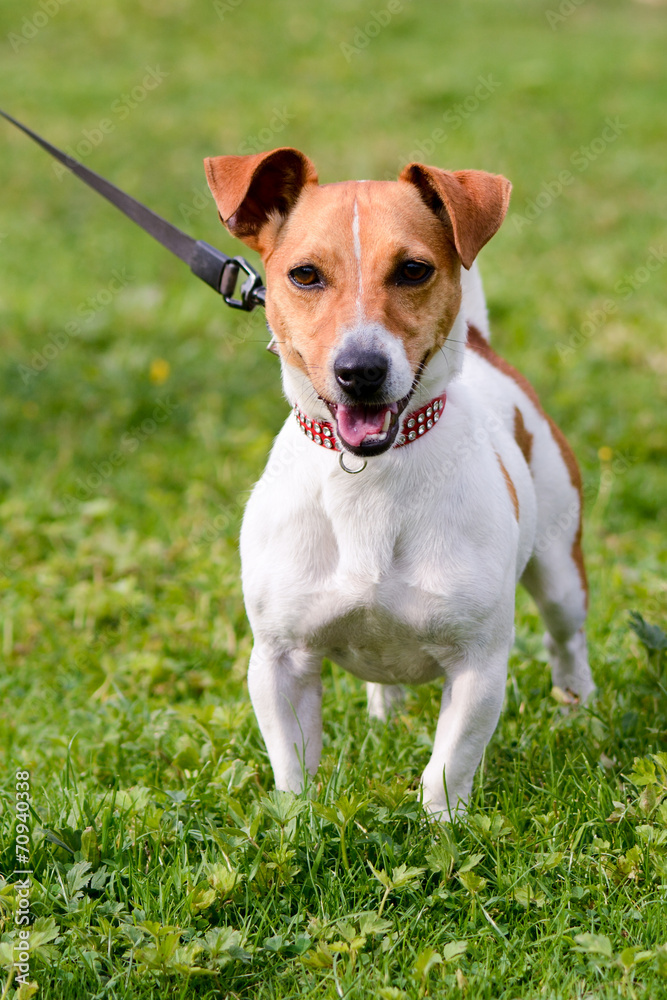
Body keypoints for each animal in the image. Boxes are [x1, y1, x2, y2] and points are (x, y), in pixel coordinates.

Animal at [204, 150, 596, 820]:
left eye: (414, 270)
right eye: (305, 275)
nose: (360, 370)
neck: (368, 478)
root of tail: (485, 348)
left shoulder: (478, 664)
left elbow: (447, 767)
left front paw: (444, 828)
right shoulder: (278, 661)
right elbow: (292, 767)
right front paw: (296, 824)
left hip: (560, 567)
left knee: (566, 639)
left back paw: (582, 709)